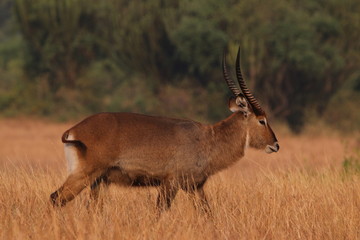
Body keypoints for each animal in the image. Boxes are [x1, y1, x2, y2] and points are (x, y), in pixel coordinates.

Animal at [49, 47, 278, 212]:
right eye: (262, 120)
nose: (275, 145)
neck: (209, 139)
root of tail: (73, 130)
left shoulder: (196, 187)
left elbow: (207, 213)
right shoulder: (170, 183)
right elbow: (160, 211)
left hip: (98, 182)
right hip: (84, 176)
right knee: (55, 198)